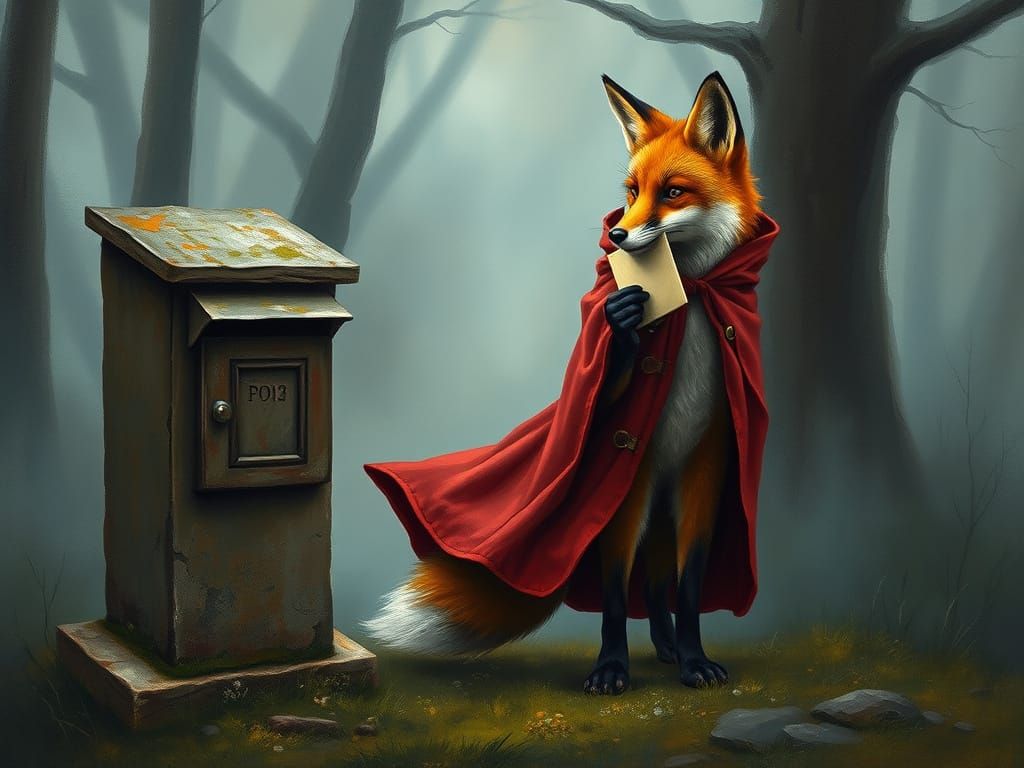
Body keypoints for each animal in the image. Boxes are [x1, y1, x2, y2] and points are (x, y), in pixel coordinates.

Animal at [364, 72, 765, 695]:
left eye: (673, 192)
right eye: (631, 190)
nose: (617, 234)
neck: (690, 303)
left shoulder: (708, 466)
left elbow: (691, 587)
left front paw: (695, 660)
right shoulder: (622, 471)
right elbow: (614, 595)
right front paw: (611, 668)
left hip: (667, 501)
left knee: (659, 584)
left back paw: (671, 648)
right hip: (637, 495)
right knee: (644, 582)